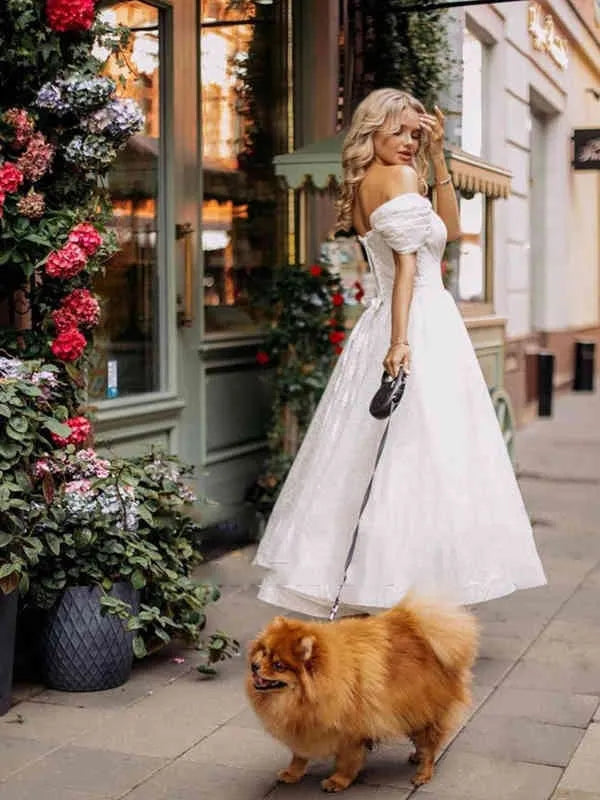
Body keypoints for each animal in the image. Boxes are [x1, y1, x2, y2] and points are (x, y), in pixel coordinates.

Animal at [245, 596, 478, 792]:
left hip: (424, 710)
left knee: (430, 746)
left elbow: (347, 760)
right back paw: (416, 756)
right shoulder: (304, 725)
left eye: (278, 665)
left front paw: (338, 781)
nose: (254, 666)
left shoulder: (350, 732)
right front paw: (292, 773)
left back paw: (423, 773)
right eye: (263, 653)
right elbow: (299, 754)